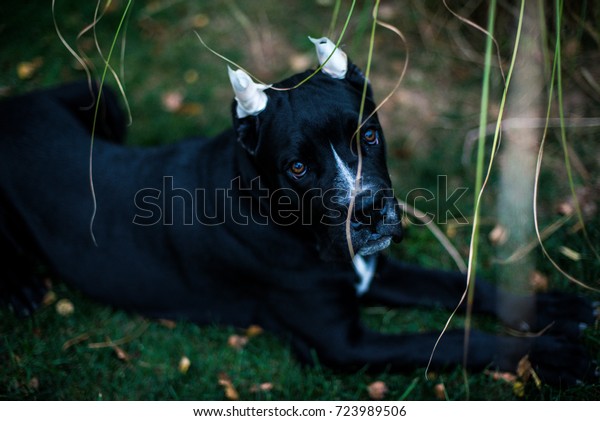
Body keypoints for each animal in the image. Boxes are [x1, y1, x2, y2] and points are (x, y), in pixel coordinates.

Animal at [0, 38, 592, 384]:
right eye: (299, 168)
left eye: (369, 135)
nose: (369, 211)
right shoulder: (340, 344)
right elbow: (446, 342)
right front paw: (549, 354)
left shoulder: (373, 269)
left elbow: (461, 285)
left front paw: (554, 308)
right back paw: (22, 288)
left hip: (104, 98)